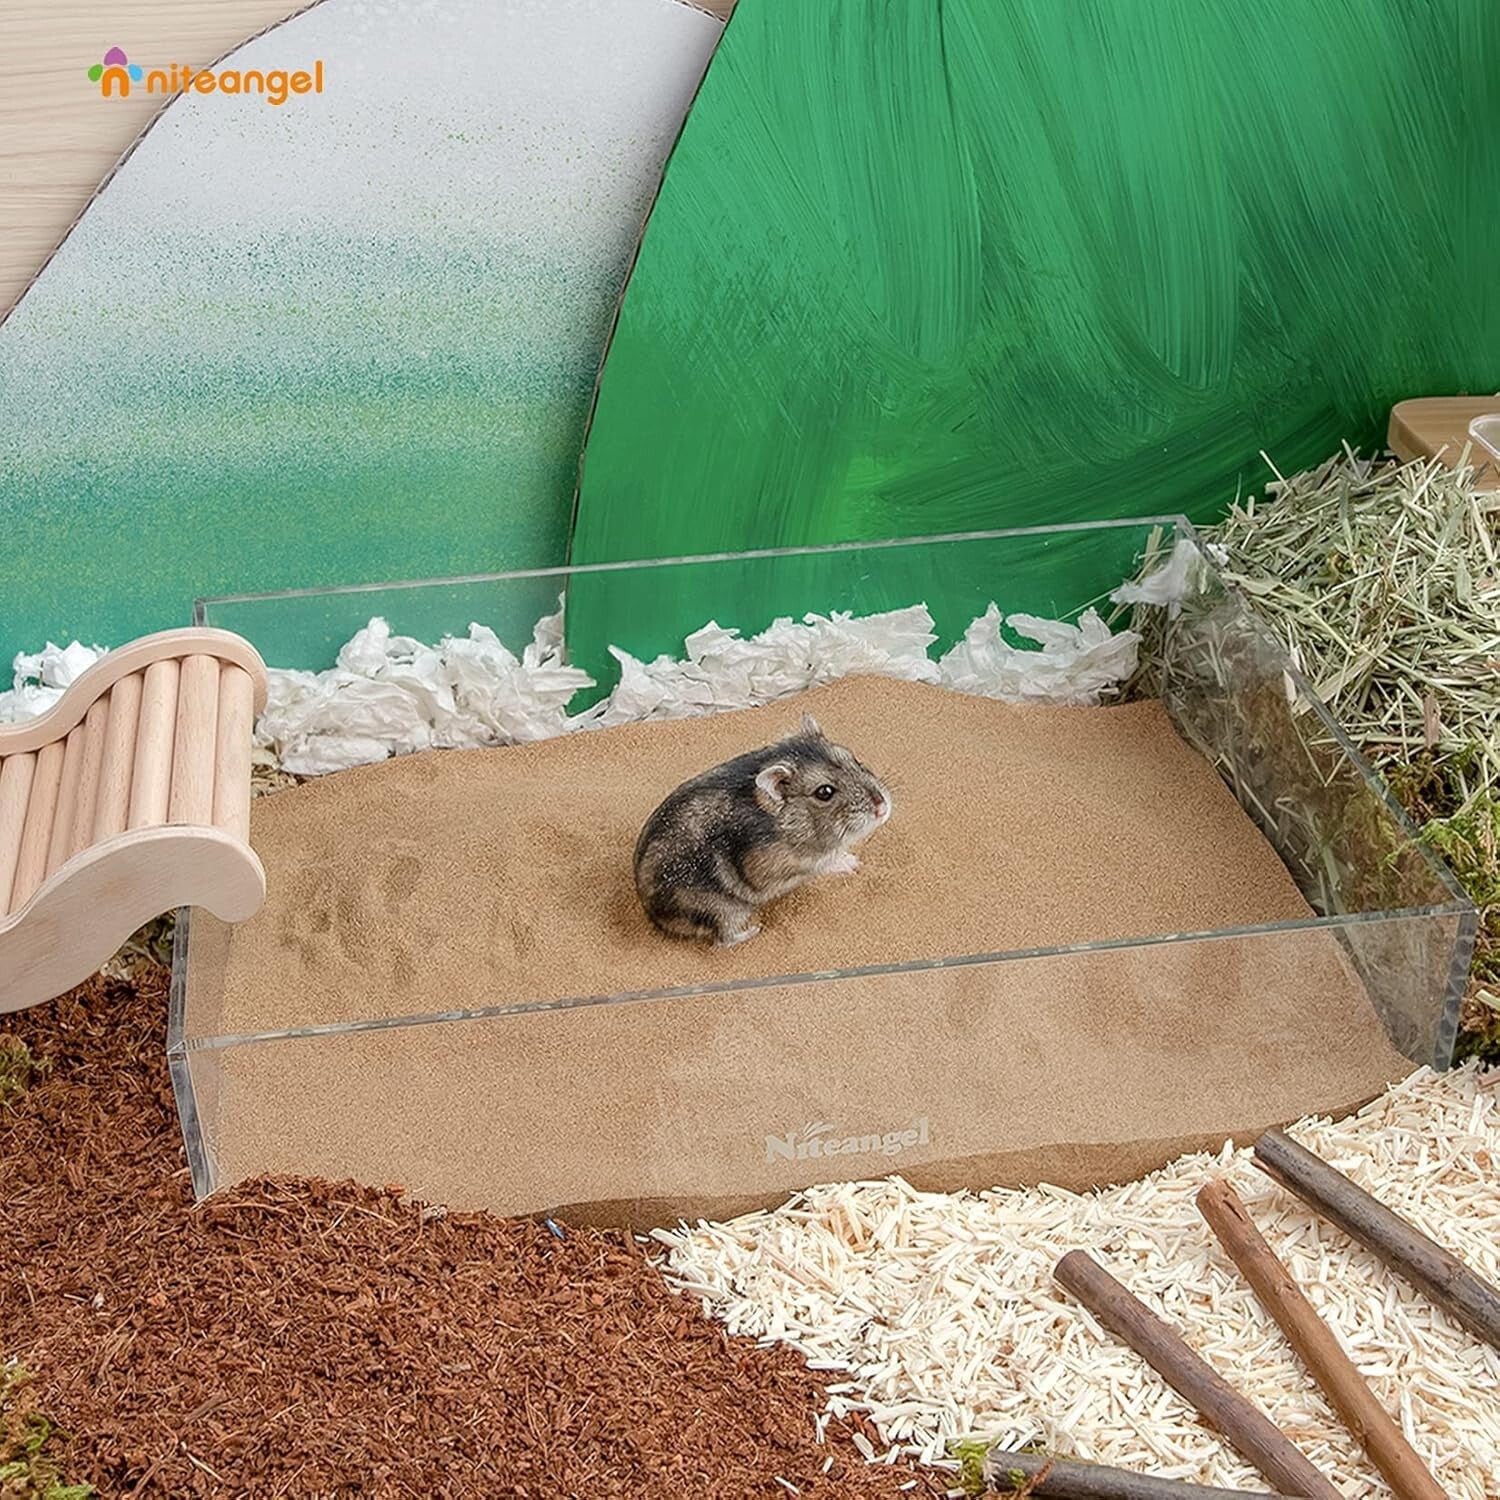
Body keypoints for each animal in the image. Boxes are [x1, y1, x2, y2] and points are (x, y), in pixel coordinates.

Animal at [634, 713, 892, 947]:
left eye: (855, 759)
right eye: (824, 792)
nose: (882, 806)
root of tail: (650, 913)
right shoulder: (777, 865)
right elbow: (822, 862)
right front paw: (853, 863)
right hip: (723, 910)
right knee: (723, 939)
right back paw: (753, 930)